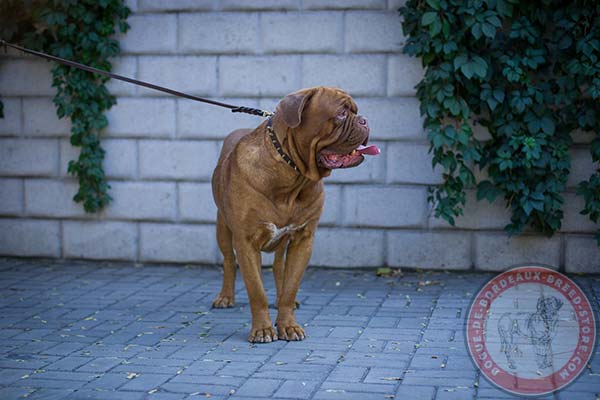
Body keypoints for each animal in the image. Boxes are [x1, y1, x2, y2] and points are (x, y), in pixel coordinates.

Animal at [211, 86, 380, 342]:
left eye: (356, 111)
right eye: (341, 113)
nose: (365, 120)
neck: (291, 175)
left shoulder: (303, 239)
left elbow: (291, 286)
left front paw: (288, 325)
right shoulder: (246, 241)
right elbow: (256, 290)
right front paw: (262, 329)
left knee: (280, 267)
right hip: (223, 227)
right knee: (229, 261)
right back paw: (225, 297)